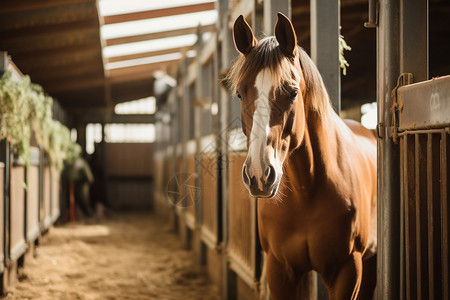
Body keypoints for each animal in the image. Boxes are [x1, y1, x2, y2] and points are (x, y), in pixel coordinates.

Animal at [227, 12, 378, 298]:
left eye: (293, 92)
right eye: (240, 93)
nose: (258, 175)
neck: (306, 190)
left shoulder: (348, 269)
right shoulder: (279, 269)